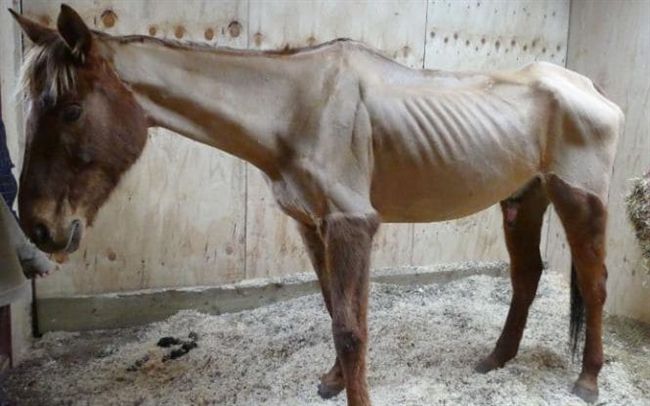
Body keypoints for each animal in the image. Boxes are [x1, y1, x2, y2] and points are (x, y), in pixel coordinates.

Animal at [10, 5, 623, 405]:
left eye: (69, 110)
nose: (39, 226)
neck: (297, 108)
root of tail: (594, 89)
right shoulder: (314, 226)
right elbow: (335, 312)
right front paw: (331, 382)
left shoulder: (352, 224)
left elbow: (352, 330)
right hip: (523, 198)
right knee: (526, 277)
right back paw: (495, 360)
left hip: (580, 201)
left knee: (595, 285)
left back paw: (588, 381)